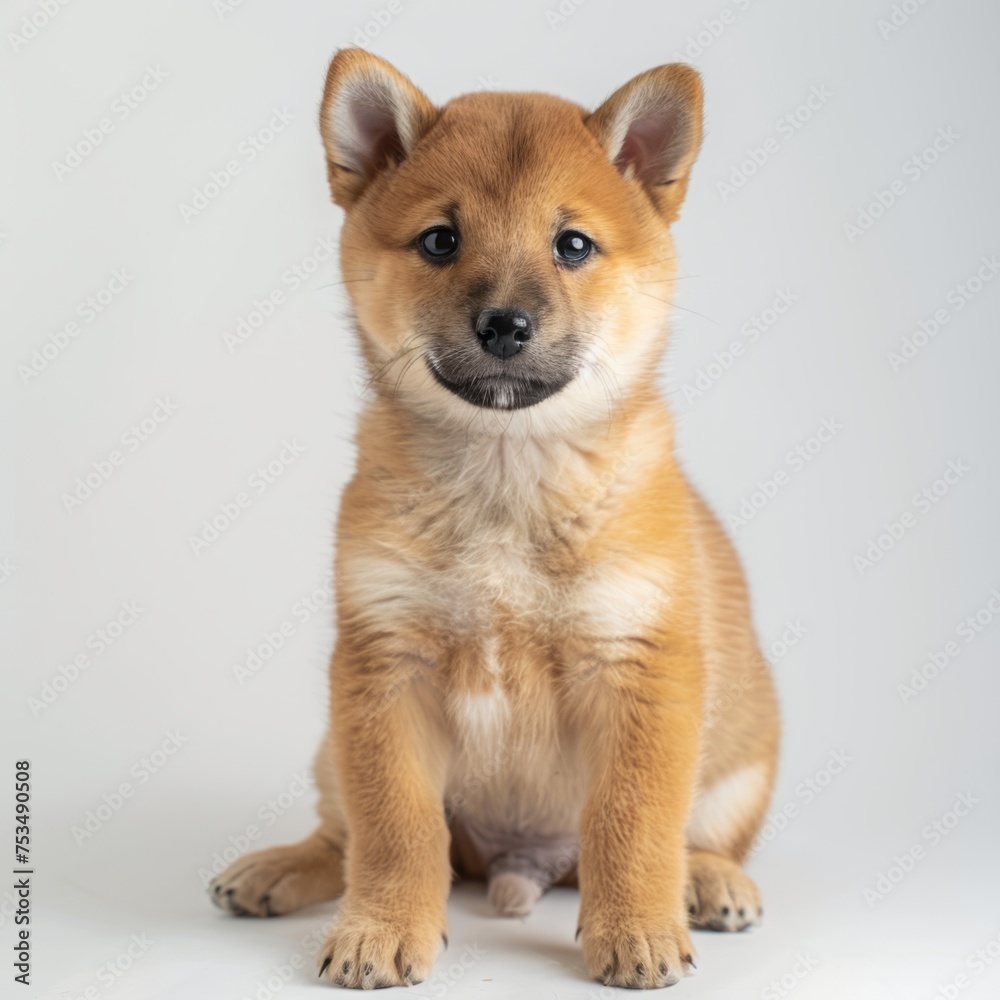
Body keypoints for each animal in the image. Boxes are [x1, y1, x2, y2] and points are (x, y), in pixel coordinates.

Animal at [211, 48, 780, 992]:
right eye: (441, 240)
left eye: (572, 244)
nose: (505, 324)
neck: (507, 479)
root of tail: (521, 862)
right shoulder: (384, 670)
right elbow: (395, 828)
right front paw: (382, 928)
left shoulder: (640, 670)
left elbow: (632, 823)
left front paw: (636, 930)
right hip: (332, 748)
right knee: (348, 835)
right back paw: (277, 869)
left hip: (743, 761)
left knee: (696, 838)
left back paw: (708, 882)